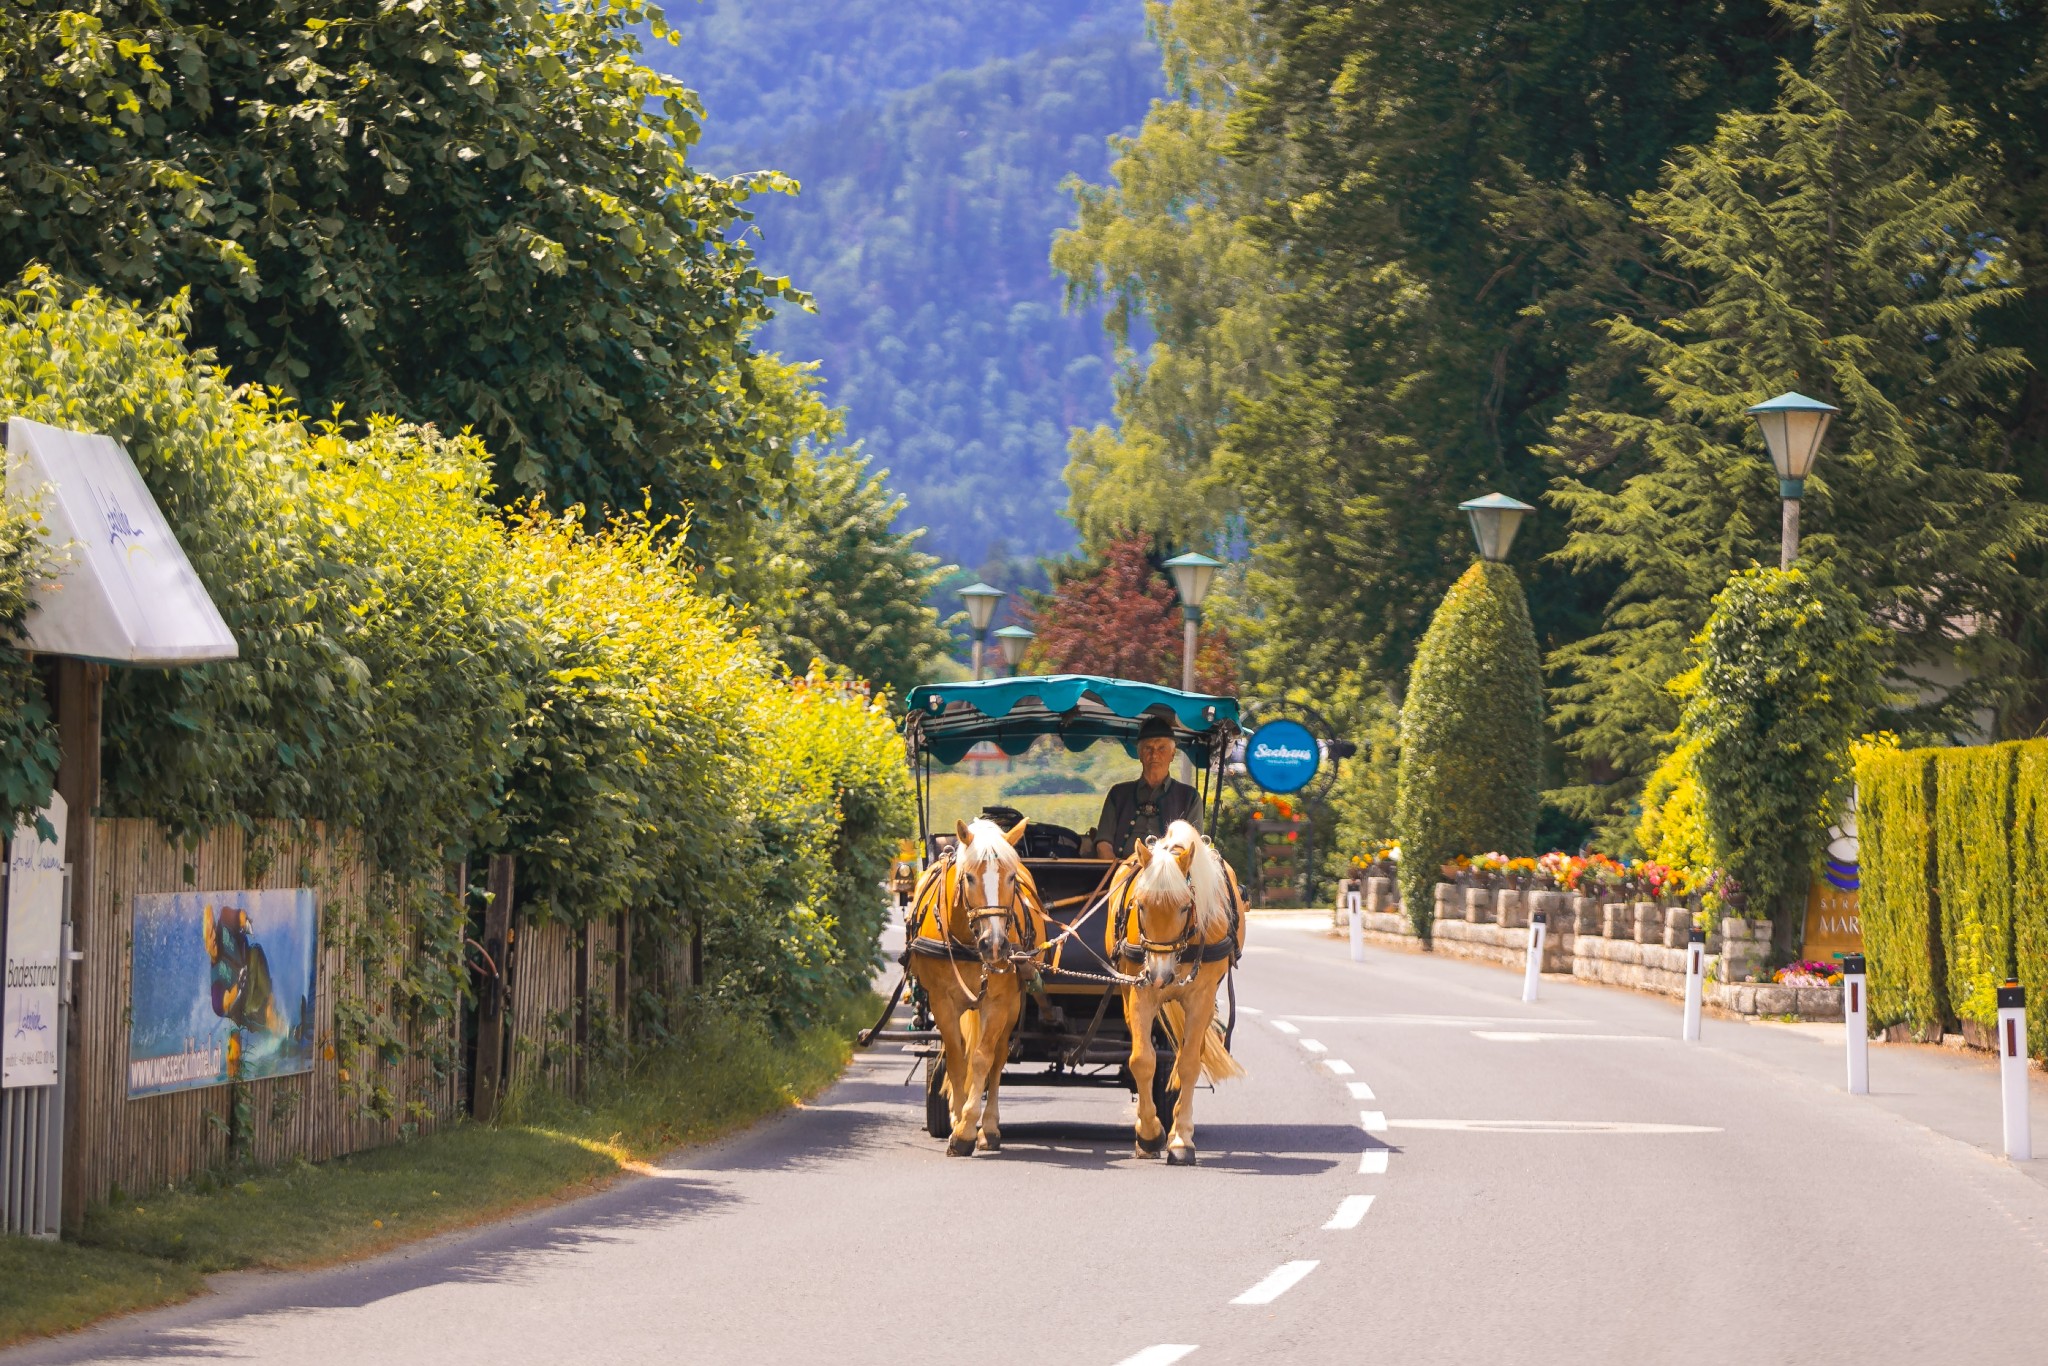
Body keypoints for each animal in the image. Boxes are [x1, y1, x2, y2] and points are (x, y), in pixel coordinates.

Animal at [909, 819, 1048, 1163]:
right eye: (969, 877)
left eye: (1010, 877)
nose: (995, 945)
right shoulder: (943, 1003)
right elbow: (958, 1059)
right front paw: (958, 1118)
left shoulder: (999, 1003)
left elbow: (982, 1060)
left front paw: (967, 1130)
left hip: (1012, 1006)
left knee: (998, 1059)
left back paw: (991, 1129)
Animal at [1105, 819, 1245, 1171]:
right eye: (1140, 904)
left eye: (1184, 907)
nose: (1160, 975)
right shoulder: (1140, 991)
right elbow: (1142, 1060)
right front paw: (1149, 1135)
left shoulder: (1200, 998)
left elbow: (1189, 1065)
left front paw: (1180, 1140)